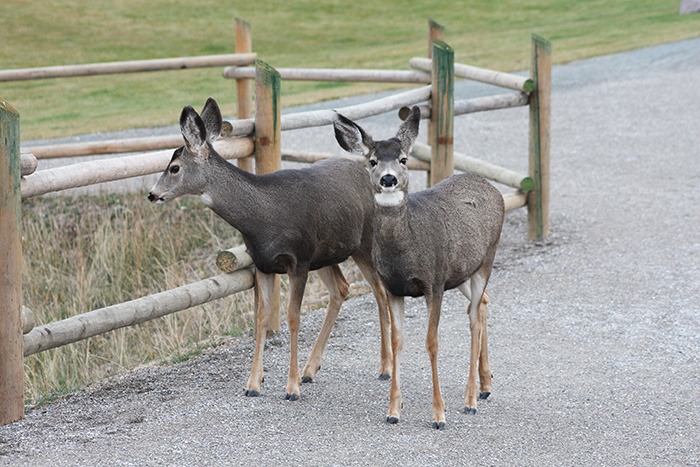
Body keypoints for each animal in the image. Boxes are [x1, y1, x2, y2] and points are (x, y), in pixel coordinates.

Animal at [146, 98, 394, 402]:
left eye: (174, 167)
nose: (152, 194)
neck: (262, 218)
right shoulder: (263, 263)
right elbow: (261, 317)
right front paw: (254, 383)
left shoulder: (299, 259)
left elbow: (292, 317)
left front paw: (291, 388)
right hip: (326, 253)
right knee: (341, 288)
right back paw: (310, 370)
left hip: (364, 243)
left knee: (379, 290)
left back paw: (384, 367)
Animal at [334, 107, 504, 432]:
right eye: (372, 161)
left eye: (403, 159)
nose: (388, 178)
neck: (405, 252)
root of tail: (493, 188)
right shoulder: (393, 288)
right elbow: (397, 341)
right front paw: (393, 410)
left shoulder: (433, 282)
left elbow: (431, 342)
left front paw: (439, 415)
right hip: (462, 271)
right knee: (482, 306)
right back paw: (486, 385)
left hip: (486, 259)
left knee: (474, 318)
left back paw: (470, 400)